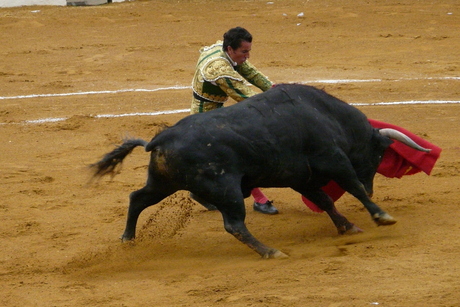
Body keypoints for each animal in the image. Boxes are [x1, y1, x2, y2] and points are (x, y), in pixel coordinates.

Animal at [90, 83, 432, 258]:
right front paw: (381, 216)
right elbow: (353, 188)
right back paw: (270, 251)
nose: (375, 186)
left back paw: (127, 239)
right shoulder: (335, 160)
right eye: (379, 155)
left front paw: (347, 226)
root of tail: (161, 138)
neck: (328, 116)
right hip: (225, 188)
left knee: (137, 198)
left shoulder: (303, 178)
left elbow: (325, 201)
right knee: (234, 225)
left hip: (163, 182)